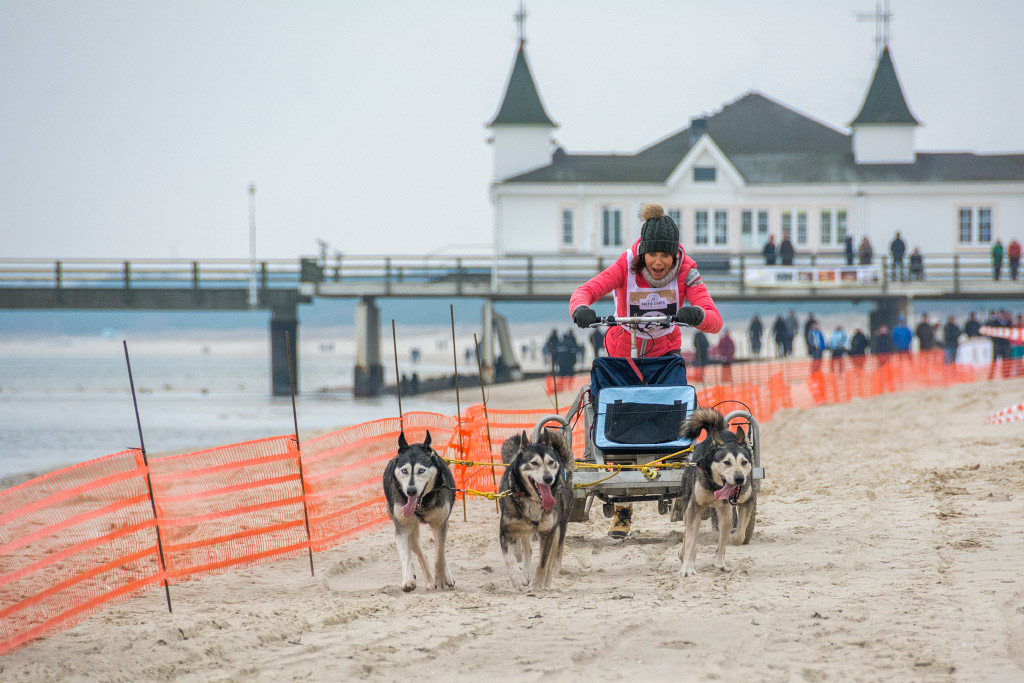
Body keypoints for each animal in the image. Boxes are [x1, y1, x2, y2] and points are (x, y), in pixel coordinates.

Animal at [382, 431, 457, 592]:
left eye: (421, 470)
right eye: (404, 471)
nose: (411, 491)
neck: (421, 504)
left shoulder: (440, 524)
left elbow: (440, 556)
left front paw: (441, 578)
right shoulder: (402, 527)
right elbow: (406, 557)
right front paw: (408, 579)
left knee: (439, 550)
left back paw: (445, 576)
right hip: (411, 528)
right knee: (417, 547)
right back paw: (429, 580)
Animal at [498, 428, 573, 591]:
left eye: (551, 462)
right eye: (534, 463)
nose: (548, 478)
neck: (531, 499)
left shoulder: (548, 532)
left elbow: (543, 563)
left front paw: (538, 584)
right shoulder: (506, 531)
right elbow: (509, 559)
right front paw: (516, 579)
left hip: (559, 529)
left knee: (552, 560)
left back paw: (546, 582)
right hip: (523, 529)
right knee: (527, 548)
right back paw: (525, 573)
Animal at [672, 408, 755, 577]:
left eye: (744, 462)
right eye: (726, 462)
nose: (739, 479)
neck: (716, 486)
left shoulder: (747, 500)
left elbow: (739, 536)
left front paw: (733, 539)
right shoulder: (694, 506)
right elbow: (691, 540)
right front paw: (687, 567)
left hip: (726, 513)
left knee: (723, 533)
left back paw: (720, 561)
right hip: (688, 506)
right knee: (687, 533)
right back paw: (684, 554)